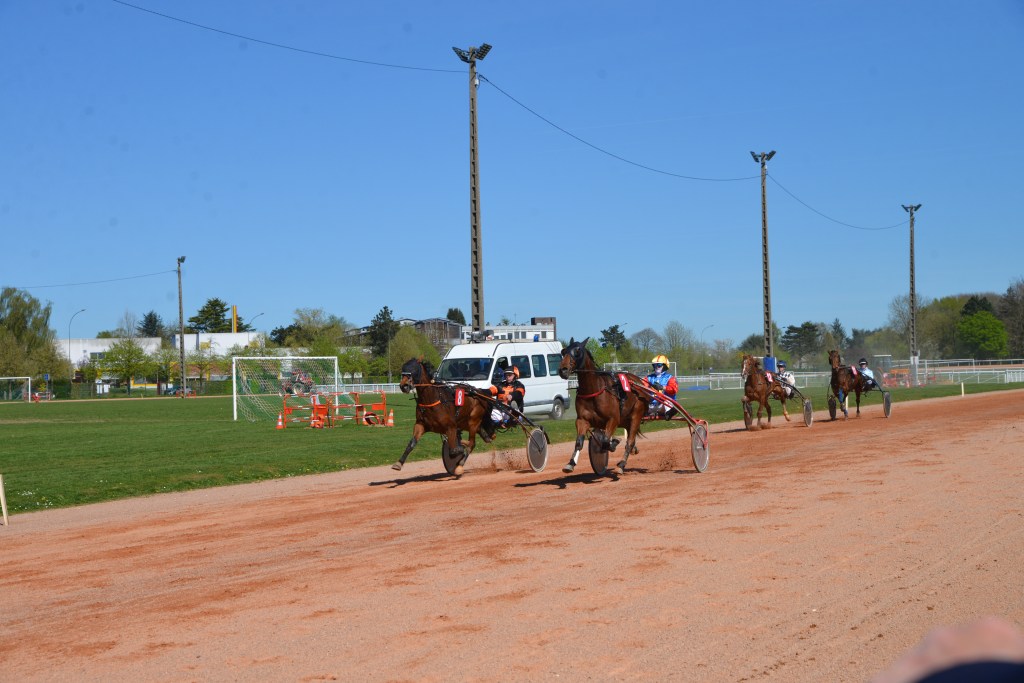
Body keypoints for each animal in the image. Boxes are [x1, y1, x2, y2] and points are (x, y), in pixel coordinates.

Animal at [557, 337, 648, 475]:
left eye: (577, 351)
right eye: (563, 351)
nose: (563, 370)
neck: (593, 390)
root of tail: (638, 381)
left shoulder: (613, 419)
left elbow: (605, 441)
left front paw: (613, 442)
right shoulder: (582, 420)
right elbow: (579, 442)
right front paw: (570, 463)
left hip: (636, 415)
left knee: (630, 441)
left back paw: (622, 464)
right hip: (626, 419)